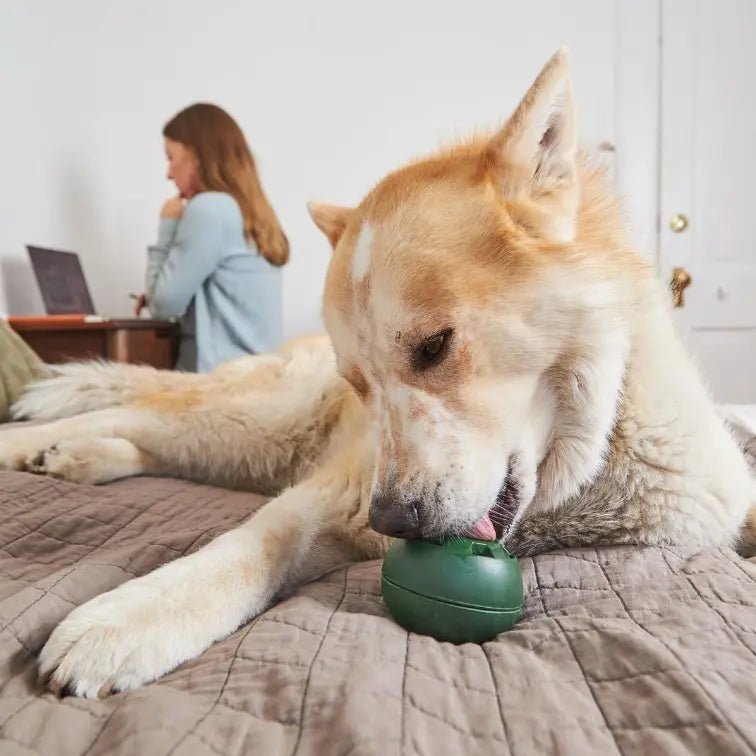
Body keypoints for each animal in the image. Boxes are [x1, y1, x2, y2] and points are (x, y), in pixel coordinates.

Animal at [1, 48, 756, 696]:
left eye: (435, 346)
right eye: (359, 382)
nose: (392, 520)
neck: (567, 503)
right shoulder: (337, 491)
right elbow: (255, 539)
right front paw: (132, 615)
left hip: (258, 450)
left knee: (156, 438)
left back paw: (77, 457)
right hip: (265, 426)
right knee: (142, 411)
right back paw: (33, 443)